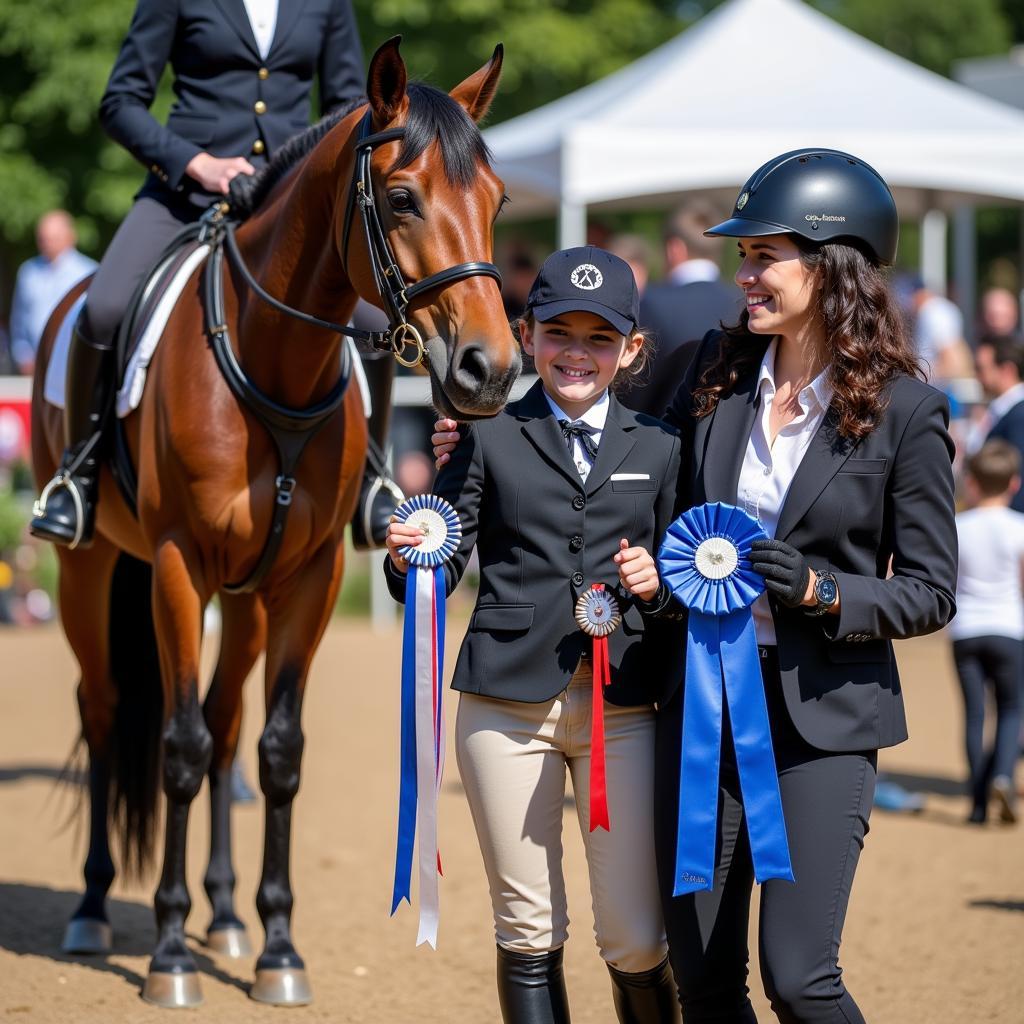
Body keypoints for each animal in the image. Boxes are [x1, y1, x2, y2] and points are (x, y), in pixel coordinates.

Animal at [32, 37, 520, 1007]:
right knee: (106, 712)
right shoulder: (178, 565)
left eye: (497, 200)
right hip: (89, 569)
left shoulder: (310, 577)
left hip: (246, 594)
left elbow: (276, 750)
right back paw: (97, 909)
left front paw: (278, 950)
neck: (273, 364)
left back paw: (223, 915)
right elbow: (178, 745)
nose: (490, 369)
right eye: (401, 198)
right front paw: (169, 958)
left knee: (226, 726)